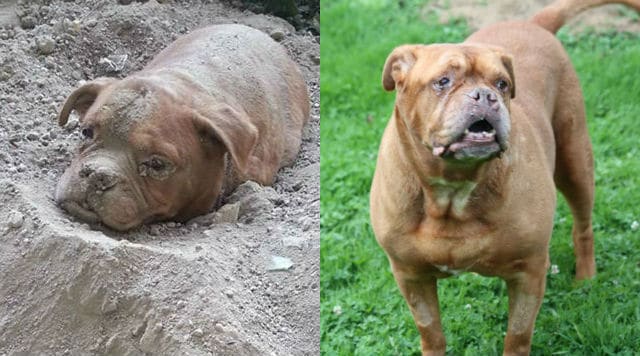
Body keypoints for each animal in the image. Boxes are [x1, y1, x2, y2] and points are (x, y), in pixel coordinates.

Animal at [370, 0, 640, 356]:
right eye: (443, 81)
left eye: (502, 84)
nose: (485, 96)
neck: (453, 189)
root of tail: (534, 23)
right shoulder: (411, 276)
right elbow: (431, 332)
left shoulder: (529, 272)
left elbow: (518, 335)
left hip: (575, 161)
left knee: (583, 226)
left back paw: (586, 277)